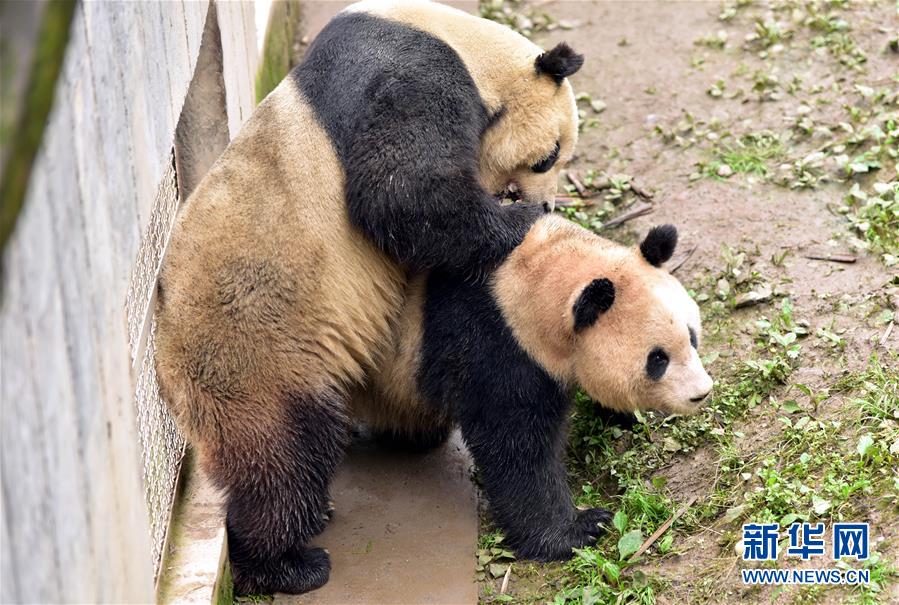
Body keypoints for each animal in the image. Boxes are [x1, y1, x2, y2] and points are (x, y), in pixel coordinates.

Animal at [154, 0, 584, 596]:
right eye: (549, 157)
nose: (542, 201)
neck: (464, 43)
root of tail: (165, 370)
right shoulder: (410, 75)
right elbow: (399, 191)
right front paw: (516, 223)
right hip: (252, 354)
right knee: (284, 456)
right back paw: (286, 564)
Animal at [356, 216, 714, 561]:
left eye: (692, 335)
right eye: (657, 359)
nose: (701, 392)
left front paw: (628, 415)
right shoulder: (492, 344)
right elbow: (516, 448)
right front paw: (579, 529)